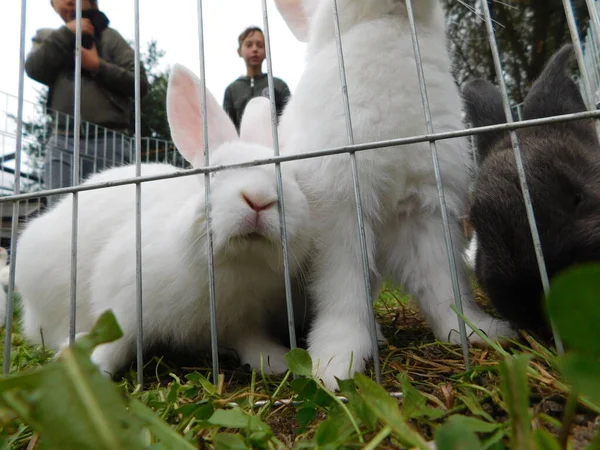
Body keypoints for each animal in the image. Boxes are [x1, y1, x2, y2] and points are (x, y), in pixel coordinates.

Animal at [15, 64, 312, 376]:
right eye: (215, 172)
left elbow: (252, 341)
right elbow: (117, 338)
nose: (258, 199)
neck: (236, 266)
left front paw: (276, 361)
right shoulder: (125, 299)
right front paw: (91, 365)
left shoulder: (246, 322)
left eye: (292, 179)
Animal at [276, 0, 516, 388]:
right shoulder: (339, 214)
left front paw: (480, 332)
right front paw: (334, 366)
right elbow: (342, 292)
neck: (391, 27)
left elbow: (443, 284)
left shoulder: (423, 210)